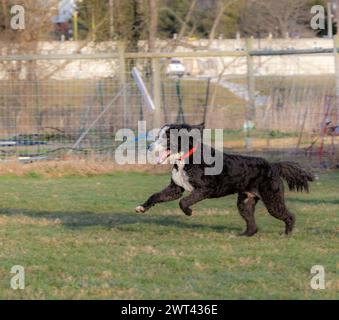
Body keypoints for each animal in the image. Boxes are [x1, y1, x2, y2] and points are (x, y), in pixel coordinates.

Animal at [134, 124, 314, 236]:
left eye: (167, 138)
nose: (149, 147)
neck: (186, 158)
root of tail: (274, 166)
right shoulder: (176, 188)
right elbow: (156, 196)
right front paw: (142, 208)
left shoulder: (205, 189)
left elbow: (183, 202)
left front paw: (189, 212)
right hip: (245, 202)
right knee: (253, 226)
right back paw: (242, 235)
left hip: (272, 200)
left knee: (290, 216)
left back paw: (286, 234)